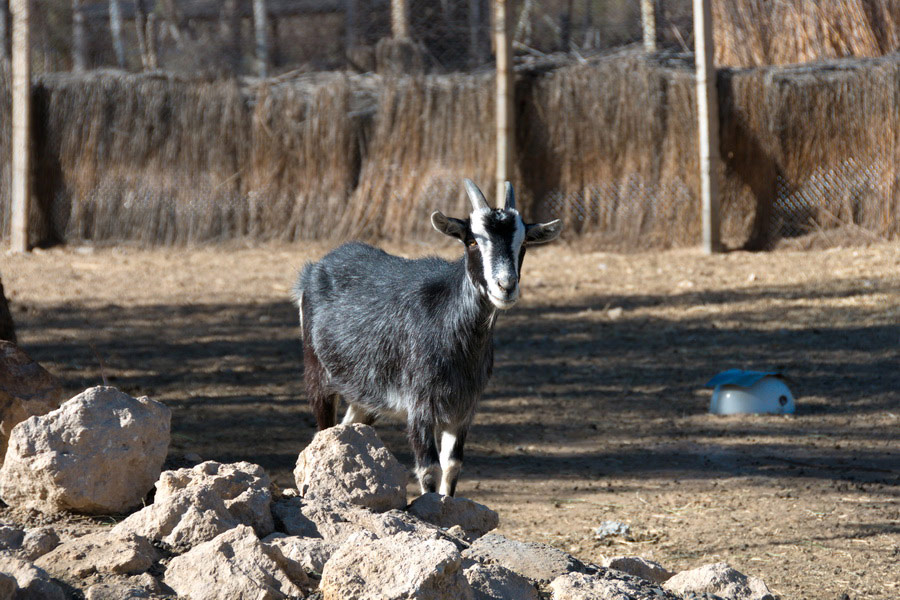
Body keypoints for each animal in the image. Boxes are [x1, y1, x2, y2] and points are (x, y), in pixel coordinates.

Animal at [296, 179, 560, 496]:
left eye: (523, 244)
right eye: (472, 241)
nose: (506, 286)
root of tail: (314, 270)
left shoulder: (463, 409)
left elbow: (452, 466)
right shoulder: (420, 405)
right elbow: (430, 469)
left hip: (366, 394)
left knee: (347, 427)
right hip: (317, 373)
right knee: (322, 432)